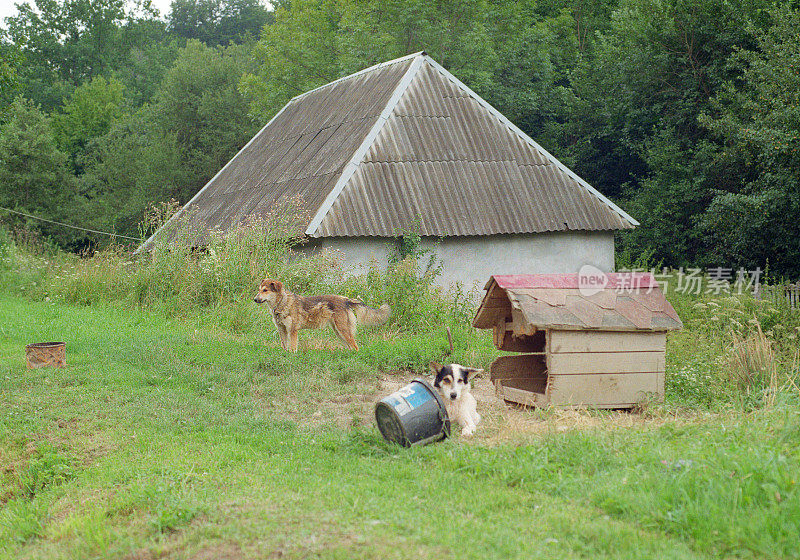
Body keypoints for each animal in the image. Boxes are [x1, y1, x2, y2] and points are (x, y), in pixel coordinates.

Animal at [253, 278, 390, 352]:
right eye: (259, 290)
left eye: (265, 290)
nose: (254, 299)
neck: (282, 303)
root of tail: (346, 300)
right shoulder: (282, 330)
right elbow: (284, 347)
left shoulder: (292, 331)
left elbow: (292, 348)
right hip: (339, 332)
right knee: (351, 347)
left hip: (343, 331)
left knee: (355, 347)